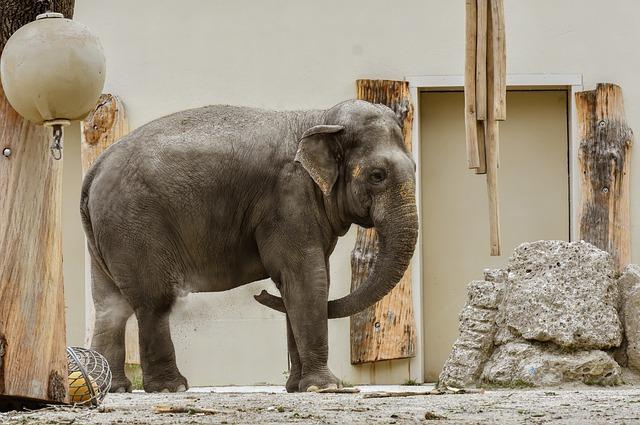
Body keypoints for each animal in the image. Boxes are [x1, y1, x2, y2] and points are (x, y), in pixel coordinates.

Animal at [80, 98, 420, 390]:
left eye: (415, 168)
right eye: (377, 175)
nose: (260, 293)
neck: (320, 118)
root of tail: (95, 168)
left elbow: (299, 283)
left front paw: (296, 387)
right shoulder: (288, 199)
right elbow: (307, 278)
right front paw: (323, 388)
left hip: (106, 236)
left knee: (109, 305)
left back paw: (113, 387)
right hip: (134, 225)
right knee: (153, 301)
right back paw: (170, 387)